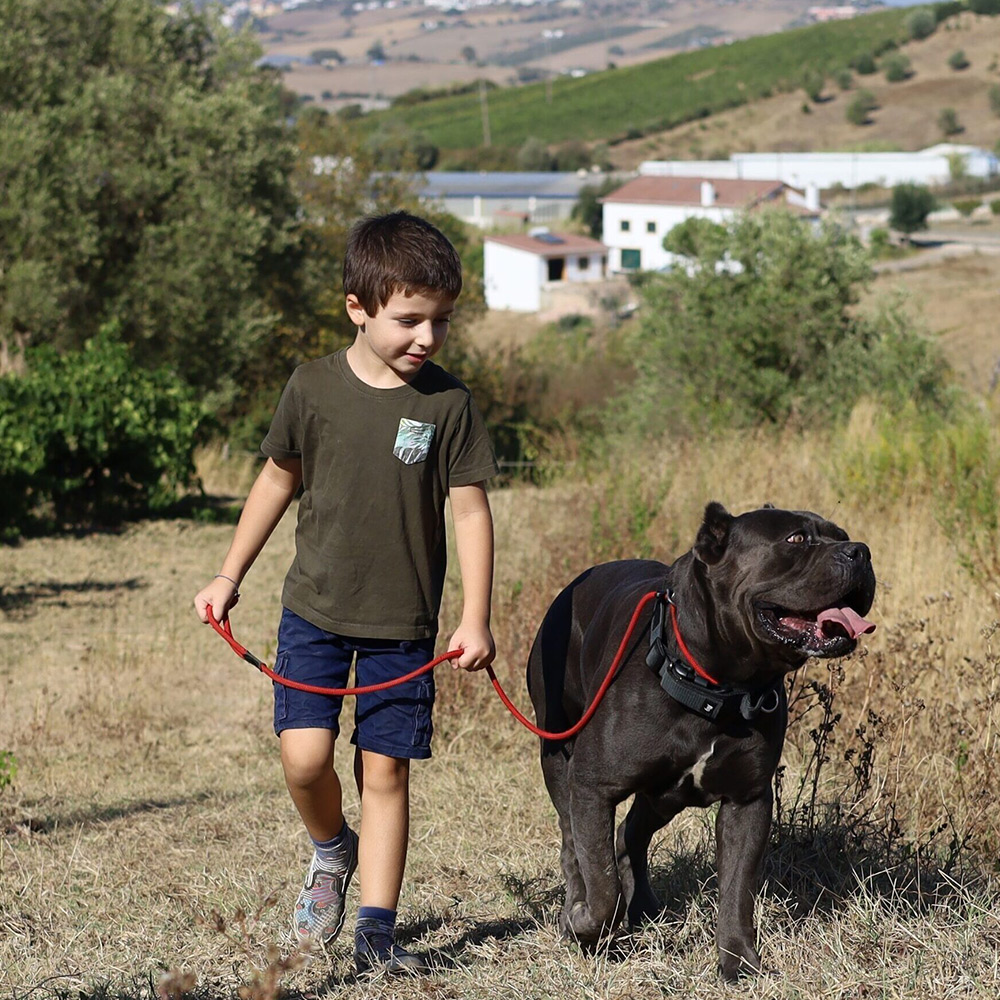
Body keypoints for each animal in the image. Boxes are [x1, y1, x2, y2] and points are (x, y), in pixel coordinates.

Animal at [524, 500, 876, 976]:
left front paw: (739, 960)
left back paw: (645, 907)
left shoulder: (748, 801)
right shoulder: (593, 788)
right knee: (572, 841)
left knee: (631, 834)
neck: (719, 685)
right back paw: (578, 908)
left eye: (841, 535)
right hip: (560, 755)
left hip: (666, 795)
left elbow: (737, 890)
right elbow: (601, 882)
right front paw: (585, 924)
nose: (860, 551)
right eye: (796, 539)